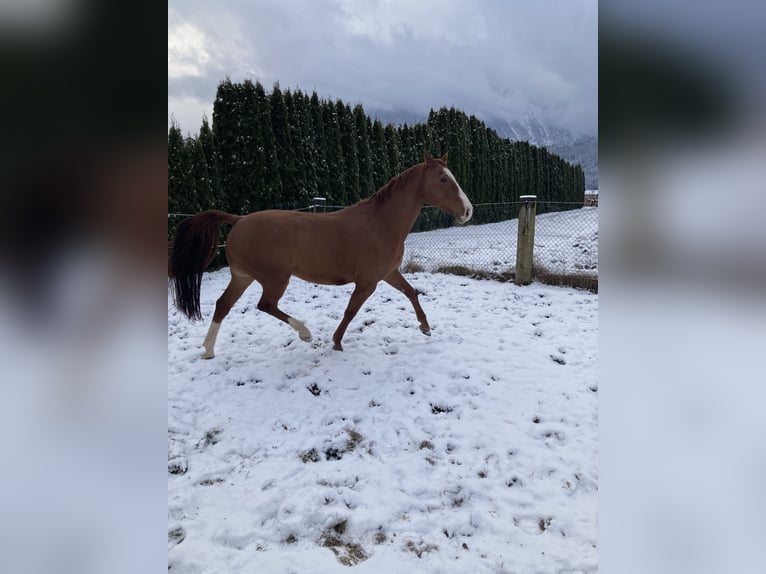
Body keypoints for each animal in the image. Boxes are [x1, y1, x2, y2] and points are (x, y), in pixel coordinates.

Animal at [170, 151, 474, 358]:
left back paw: (208, 350)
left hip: (242, 276)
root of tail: (239, 220)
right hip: (274, 279)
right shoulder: (368, 282)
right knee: (265, 305)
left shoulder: (389, 273)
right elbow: (351, 311)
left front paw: (425, 327)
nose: (468, 211)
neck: (380, 223)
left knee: (223, 305)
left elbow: (411, 293)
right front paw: (336, 342)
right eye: (443, 179)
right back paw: (305, 333)